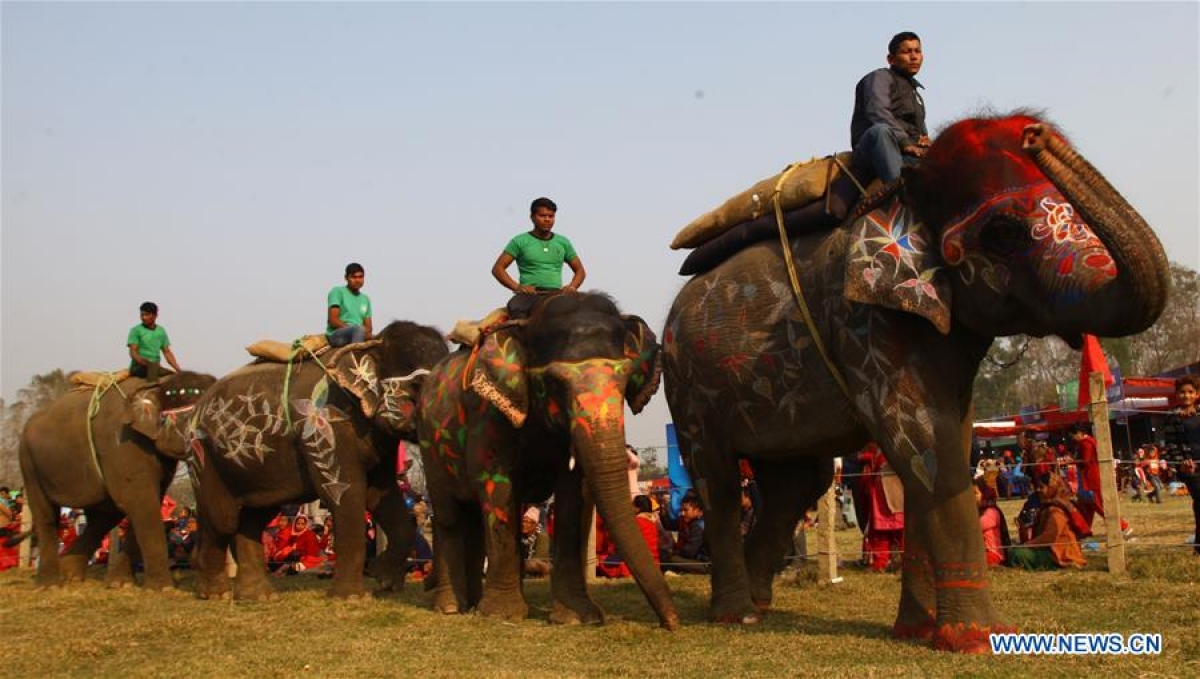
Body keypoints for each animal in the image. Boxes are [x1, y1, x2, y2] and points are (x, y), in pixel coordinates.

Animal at [19, 371, 216, 590]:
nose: (193, 560)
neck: (158, 383)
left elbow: (148, 502)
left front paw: (121, 584)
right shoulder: (122, 444)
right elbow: (139, 501)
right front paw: (164, 588)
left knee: (104, 516)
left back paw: (70, 575)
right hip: (29, 461)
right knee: (46, 514)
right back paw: (50, 584)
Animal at [187, 321, 451, 602]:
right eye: (418, 386)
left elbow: (380, 494)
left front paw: (383, 580)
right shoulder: (326, 426)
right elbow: (346, 494)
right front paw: (352, 599)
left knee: (253, 518)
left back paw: (258, 597)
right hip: (202, 454)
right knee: (224, 519)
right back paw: (215, 594)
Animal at [417, 290, 681, 628]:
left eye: (625, 381)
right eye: (555, 383)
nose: (670, 623)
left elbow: (573, 494)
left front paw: (579, 618)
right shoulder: (488, 417)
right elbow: (497, 488)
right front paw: (503, 614)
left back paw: (474, 603)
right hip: (430, 443)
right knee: (449, 514)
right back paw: (451, 607)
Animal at [662, 113, 1166, 652]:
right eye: (1004, 232)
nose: (1037, 134)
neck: (906, 195)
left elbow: (944, 443)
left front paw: (919, 631)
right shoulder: (863, 321)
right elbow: (926, 441)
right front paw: (980, 640)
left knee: (795, 484)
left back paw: (759, 608)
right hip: (689, 389)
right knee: (719, 482)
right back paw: (736, 616)